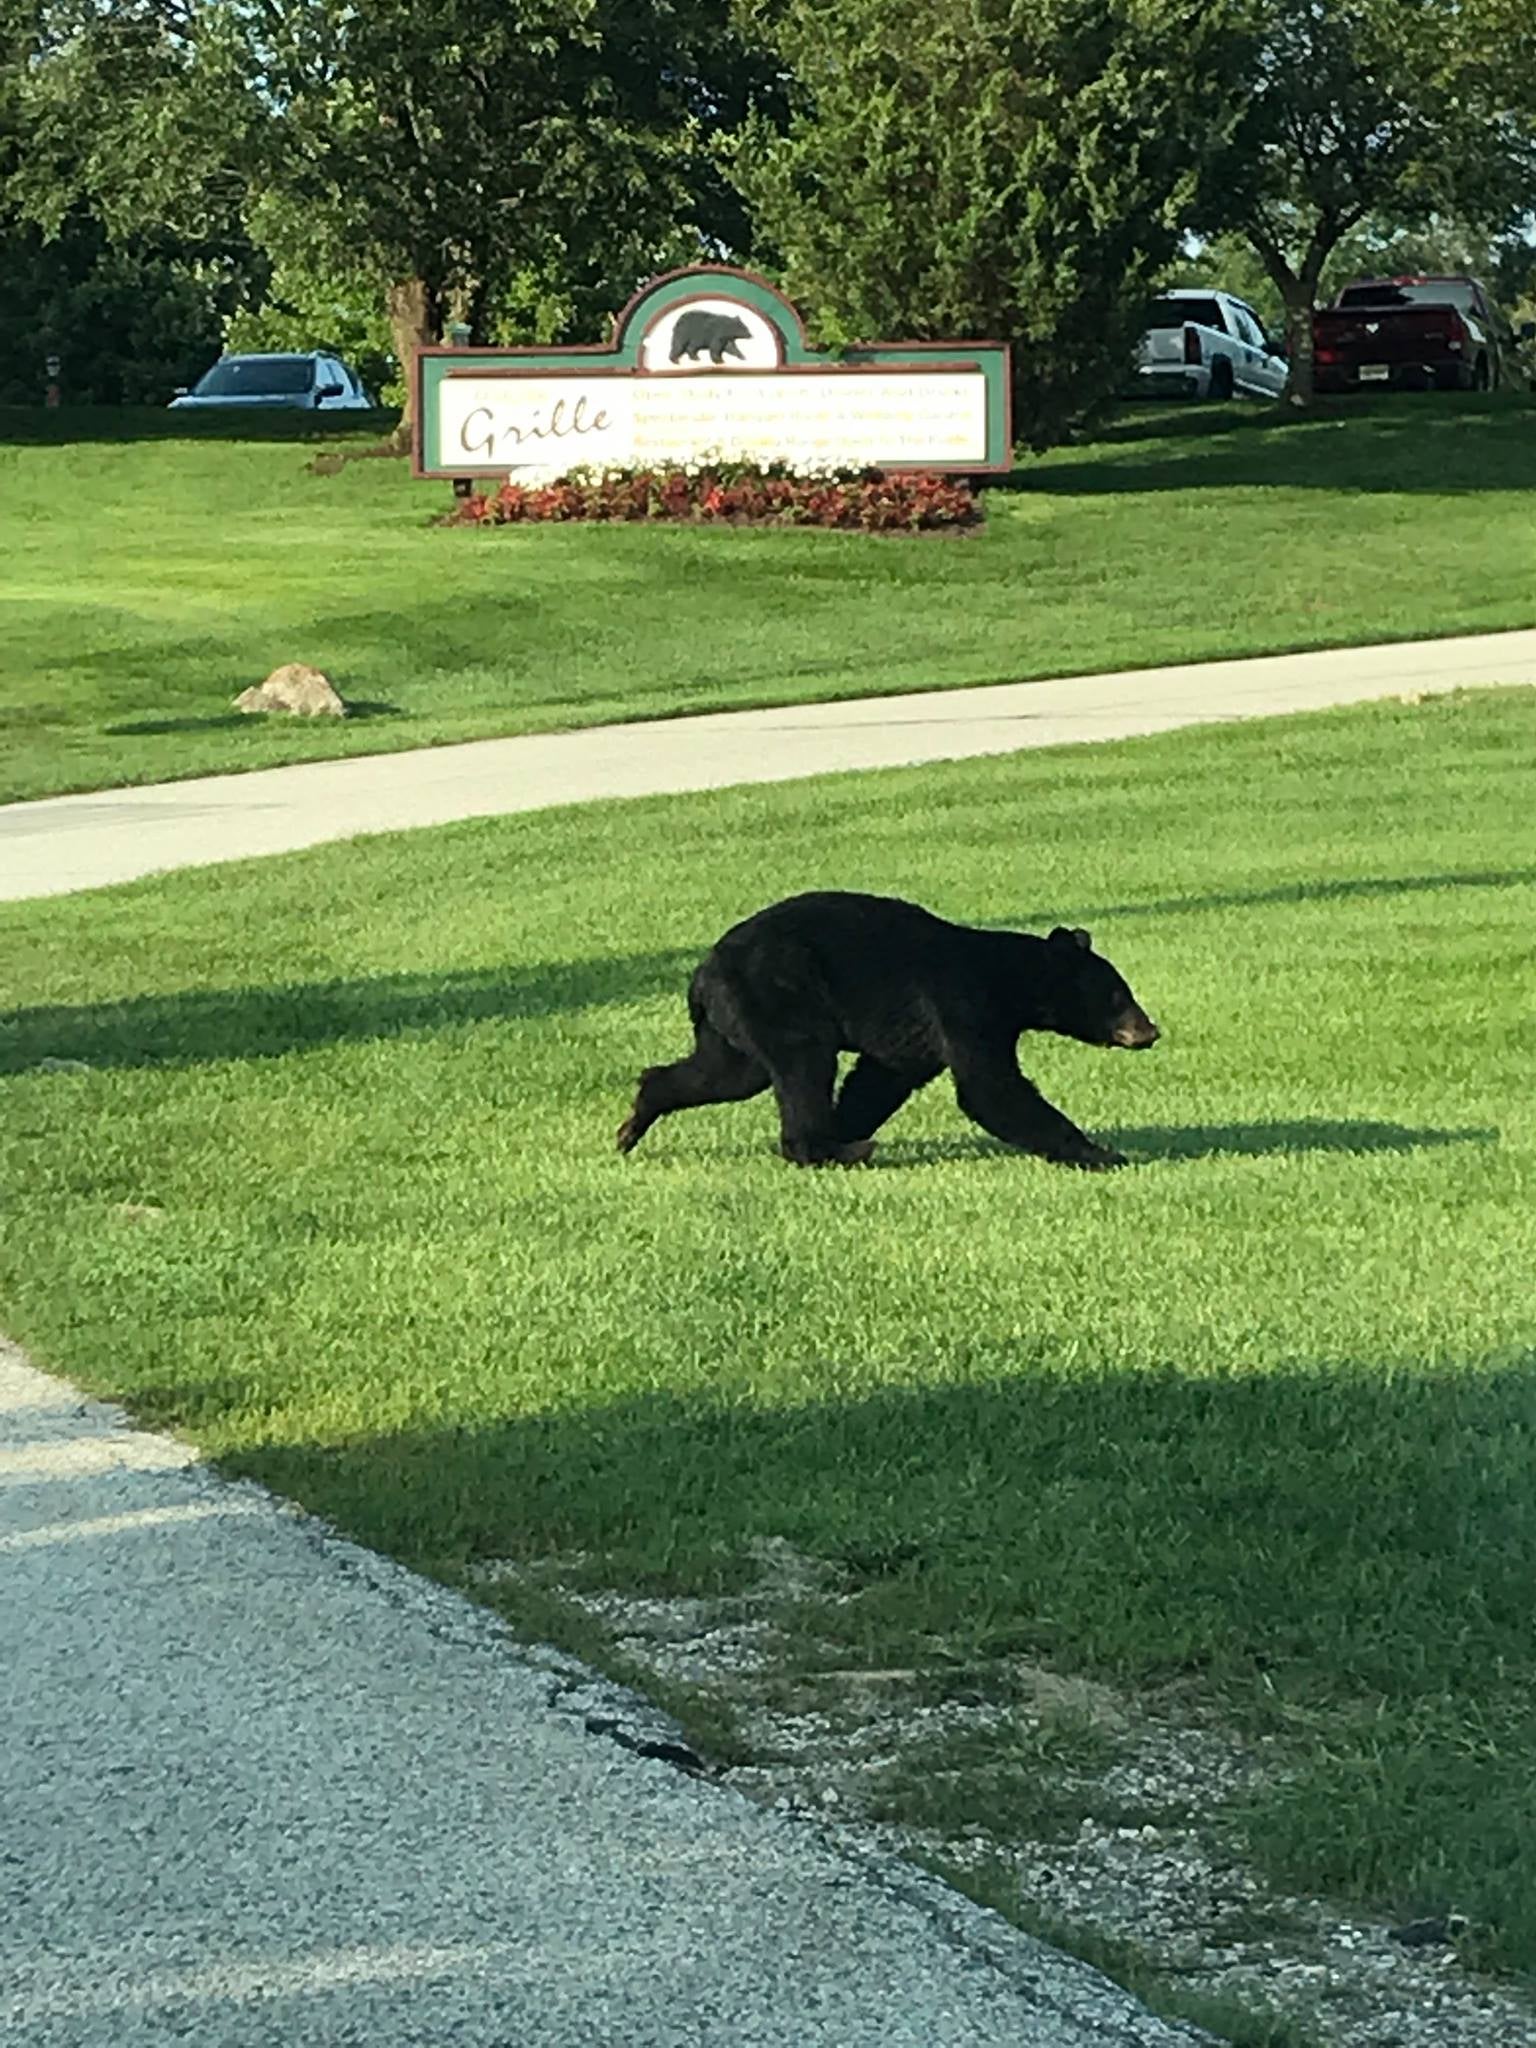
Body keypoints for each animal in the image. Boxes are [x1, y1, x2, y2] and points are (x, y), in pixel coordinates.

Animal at [617, 891, 1159, 1170]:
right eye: (1118, 995)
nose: (1149, 1031)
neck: (1006, 978)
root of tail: (702, 974)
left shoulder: (914, 1038)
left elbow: (881, 1079)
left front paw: (848, 1122)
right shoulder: (961, 1005)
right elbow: (990, 1088)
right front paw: (1103, 1153)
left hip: (735, 1021)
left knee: (726, 1073)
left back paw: (633, 1122)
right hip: (778, 995)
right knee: (802, 1065)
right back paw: (828, 1150)